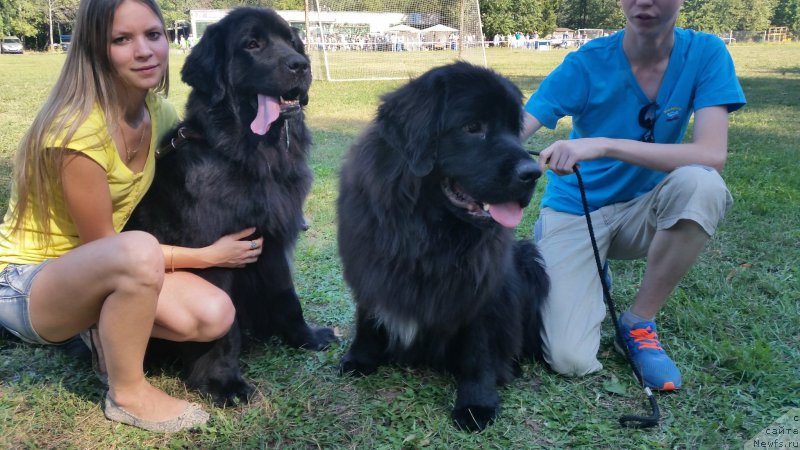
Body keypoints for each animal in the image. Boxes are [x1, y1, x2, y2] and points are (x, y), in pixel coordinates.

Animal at [126, 7, 338, 406]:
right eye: (252, 44)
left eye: (292, 41)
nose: (301, 65)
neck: (246, 156)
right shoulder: (217, 255)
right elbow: (223, 327)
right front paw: (222, 382)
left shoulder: (270, 239)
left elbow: (288, 297)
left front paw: (306, 337)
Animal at [336, 61, 552, 430]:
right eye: (473, 127)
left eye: (515, 129)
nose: (533, 173)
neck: (427, 232)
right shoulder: (370, 267)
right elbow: (367, 316)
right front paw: (359, 358)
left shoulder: (483, 290)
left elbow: (479, 349)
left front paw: (476, 403)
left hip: (529, 261)